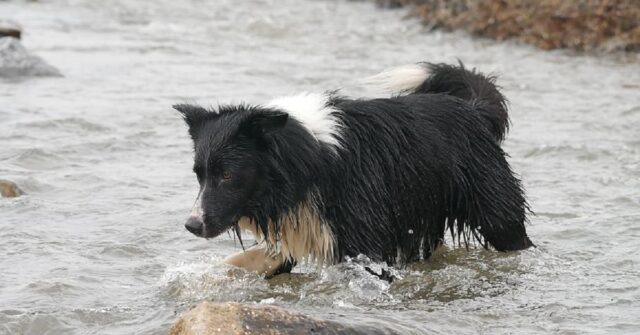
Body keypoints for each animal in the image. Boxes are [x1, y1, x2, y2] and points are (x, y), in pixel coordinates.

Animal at [176, 61, 536, 276]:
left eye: (227, 175)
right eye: (199, 174)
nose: (192, 226)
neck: (307, 158)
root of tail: (472, 109)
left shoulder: (364, 241)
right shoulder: (297, 228)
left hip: (495, 211)